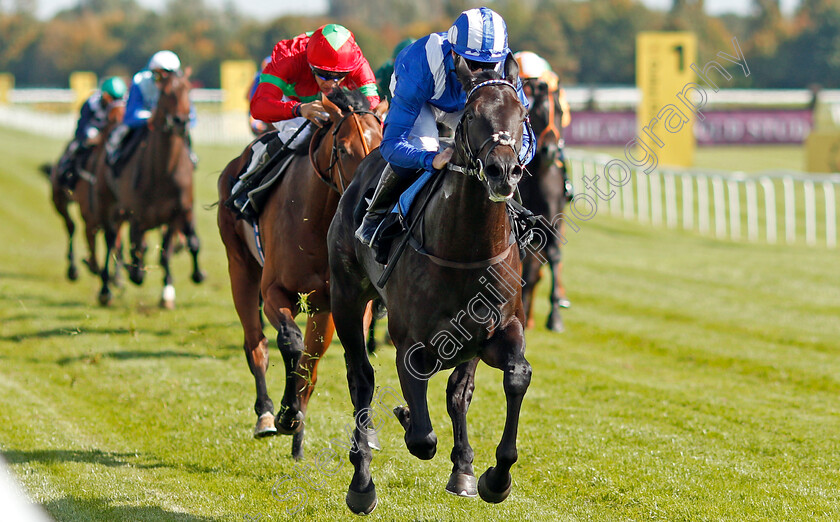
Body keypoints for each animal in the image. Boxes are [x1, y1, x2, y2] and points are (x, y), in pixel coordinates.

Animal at [44, 103, 125, 282]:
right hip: (59, 199)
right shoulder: (90, 215)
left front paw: (117, 276)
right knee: (71, 226)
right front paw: (93, 265)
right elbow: (91, 237)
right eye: (114, 117)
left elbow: (116, 242)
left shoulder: (118, 216)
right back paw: (73, 268)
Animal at [97, 68, 203, 304]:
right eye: (165, 93)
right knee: (110, 241)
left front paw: (169, 291)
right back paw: (106, 289)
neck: (163, 172)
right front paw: (133, 272)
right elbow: (137, 253)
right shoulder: (137, 216)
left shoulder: (178, 212)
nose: (180, 121)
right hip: (109, 205)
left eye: (188, 91)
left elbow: (176, 249)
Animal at [217, 89, 388, 460]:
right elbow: (290, 344)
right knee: (256, 343)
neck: (317, 220)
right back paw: (267, 414)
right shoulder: (275, 292)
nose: (367, 199)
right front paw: (285, 413)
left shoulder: (337, 304)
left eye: (382, 144)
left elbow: (316, 363)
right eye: (343, 149)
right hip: (240, 268)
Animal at [328, 53, 532, 512]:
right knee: (361, 378)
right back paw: (361, 482)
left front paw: (494, 478)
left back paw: (463, 469)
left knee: (458, 391)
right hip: (346, 296)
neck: (466, 250)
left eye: (522, 114)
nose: (503, 171)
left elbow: (514, 377)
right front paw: (405, 418)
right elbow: (421, 437)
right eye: (472, 114)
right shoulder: (410, 344)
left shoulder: (499, 329)